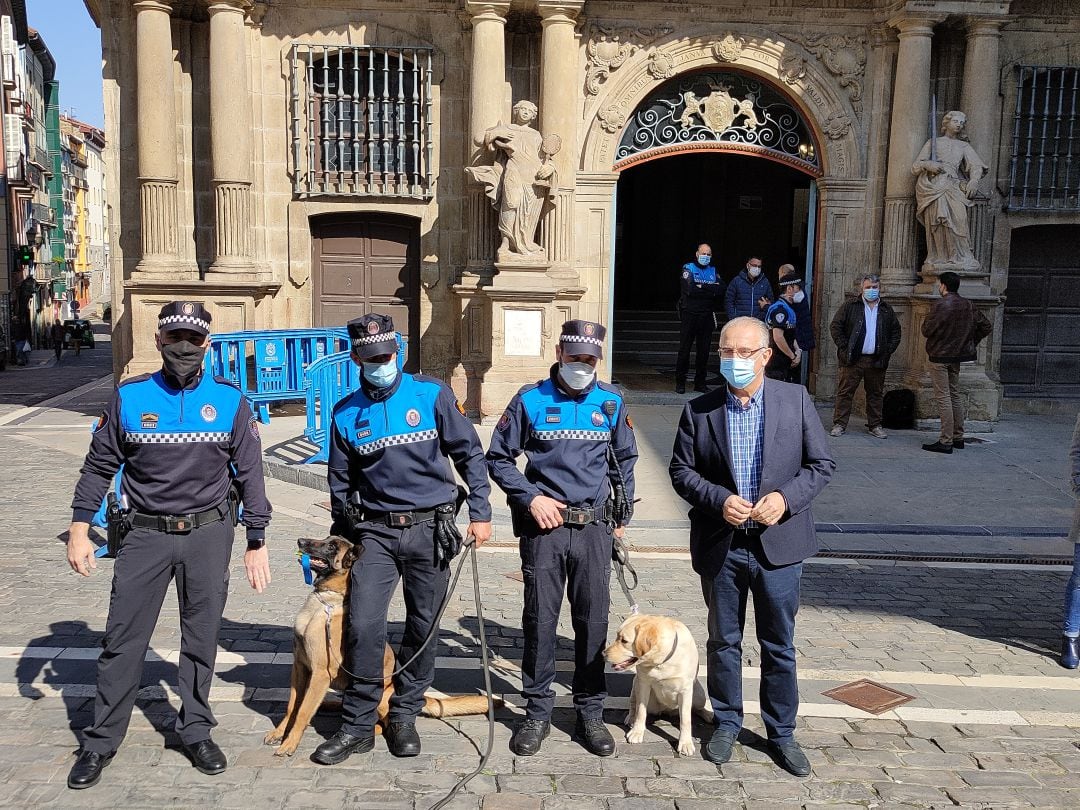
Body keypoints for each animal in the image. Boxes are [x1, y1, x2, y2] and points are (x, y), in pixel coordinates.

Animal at [265, 535, 494, 760]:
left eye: (331, 547)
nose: (300, 541)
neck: (327, 601)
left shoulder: (320, 673)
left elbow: (303, 711)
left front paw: (289, 744)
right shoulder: (300, 667)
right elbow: (293, 706)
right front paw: (279, 733)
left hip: (383, 699)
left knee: (380, 725)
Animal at [604, 617, 712, 760]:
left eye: (624, 641)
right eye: (617, 637)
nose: (603, 653)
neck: (661, 662)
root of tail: (666, 710)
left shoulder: (686, 690)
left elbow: (686, 719)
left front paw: (686, 743)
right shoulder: (643, 683)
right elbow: (641, 711)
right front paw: (637, 732)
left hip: (699, 695)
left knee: (697, 708)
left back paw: (709, 714)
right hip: (636, 685)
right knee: (633, 705)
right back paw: (631, 718)